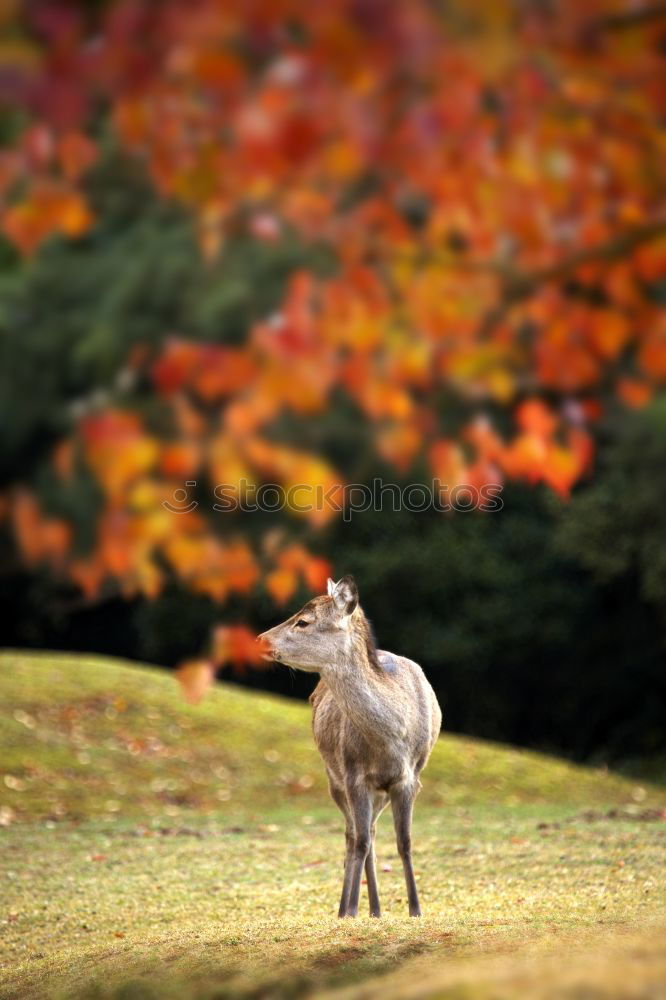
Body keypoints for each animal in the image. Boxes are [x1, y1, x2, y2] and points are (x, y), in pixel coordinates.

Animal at [260, 576, 440, 916]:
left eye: (304, 621)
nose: (260, 639)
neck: (391, 740)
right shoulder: (354, 774)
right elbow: (359, 841)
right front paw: (351, 910)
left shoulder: (410, 777)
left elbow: (405, 842)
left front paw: (415, 909)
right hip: (334, 777)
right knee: (353, 834)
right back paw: (354, 908)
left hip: (379, 791)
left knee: (370, 832)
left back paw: (377, 910)